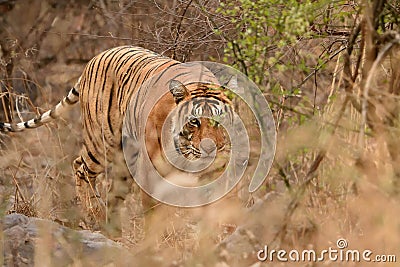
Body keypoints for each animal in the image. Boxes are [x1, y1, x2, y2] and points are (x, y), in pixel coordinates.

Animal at [0, 46, 234, 237]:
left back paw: (112, 227)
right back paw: (93, 213)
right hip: (102, 142)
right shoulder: (150, 171)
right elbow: (152, 211)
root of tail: (94, 58)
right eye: (194, 121)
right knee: (80, 166)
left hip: (124, 157)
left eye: (220, 118)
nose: (212, 149)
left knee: (113, 191)